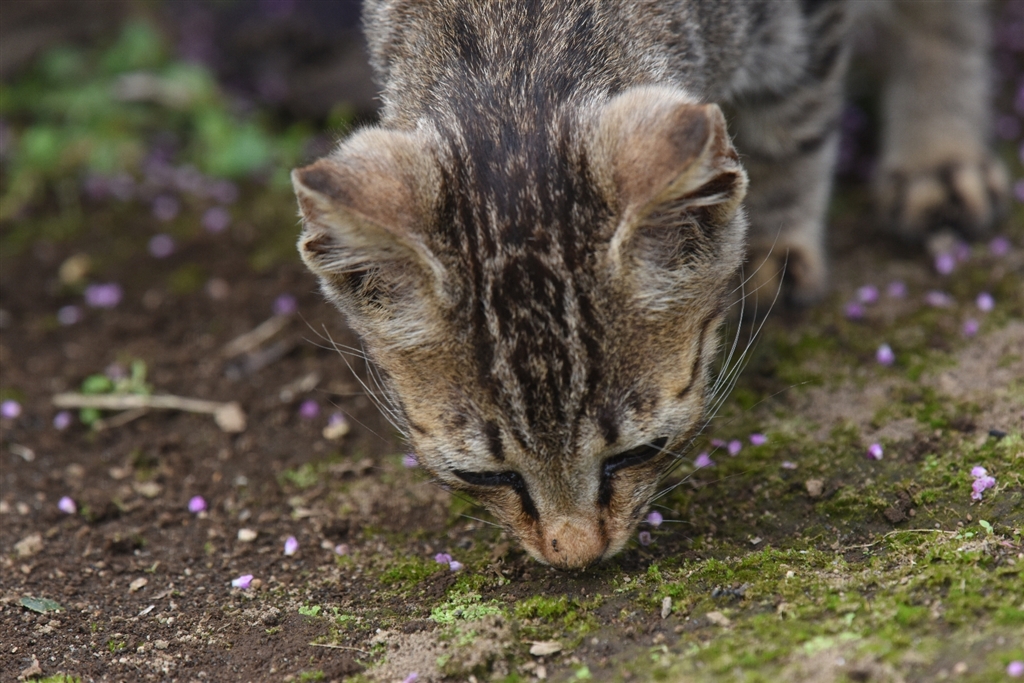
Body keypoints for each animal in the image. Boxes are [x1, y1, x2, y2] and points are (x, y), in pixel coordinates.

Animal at [291, 0, 1008, 569]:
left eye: (640, 452)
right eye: (484, 474)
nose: (575, 556)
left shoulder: (803, 26)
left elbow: (794, 120)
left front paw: (774, 247)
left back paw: (938, 155)